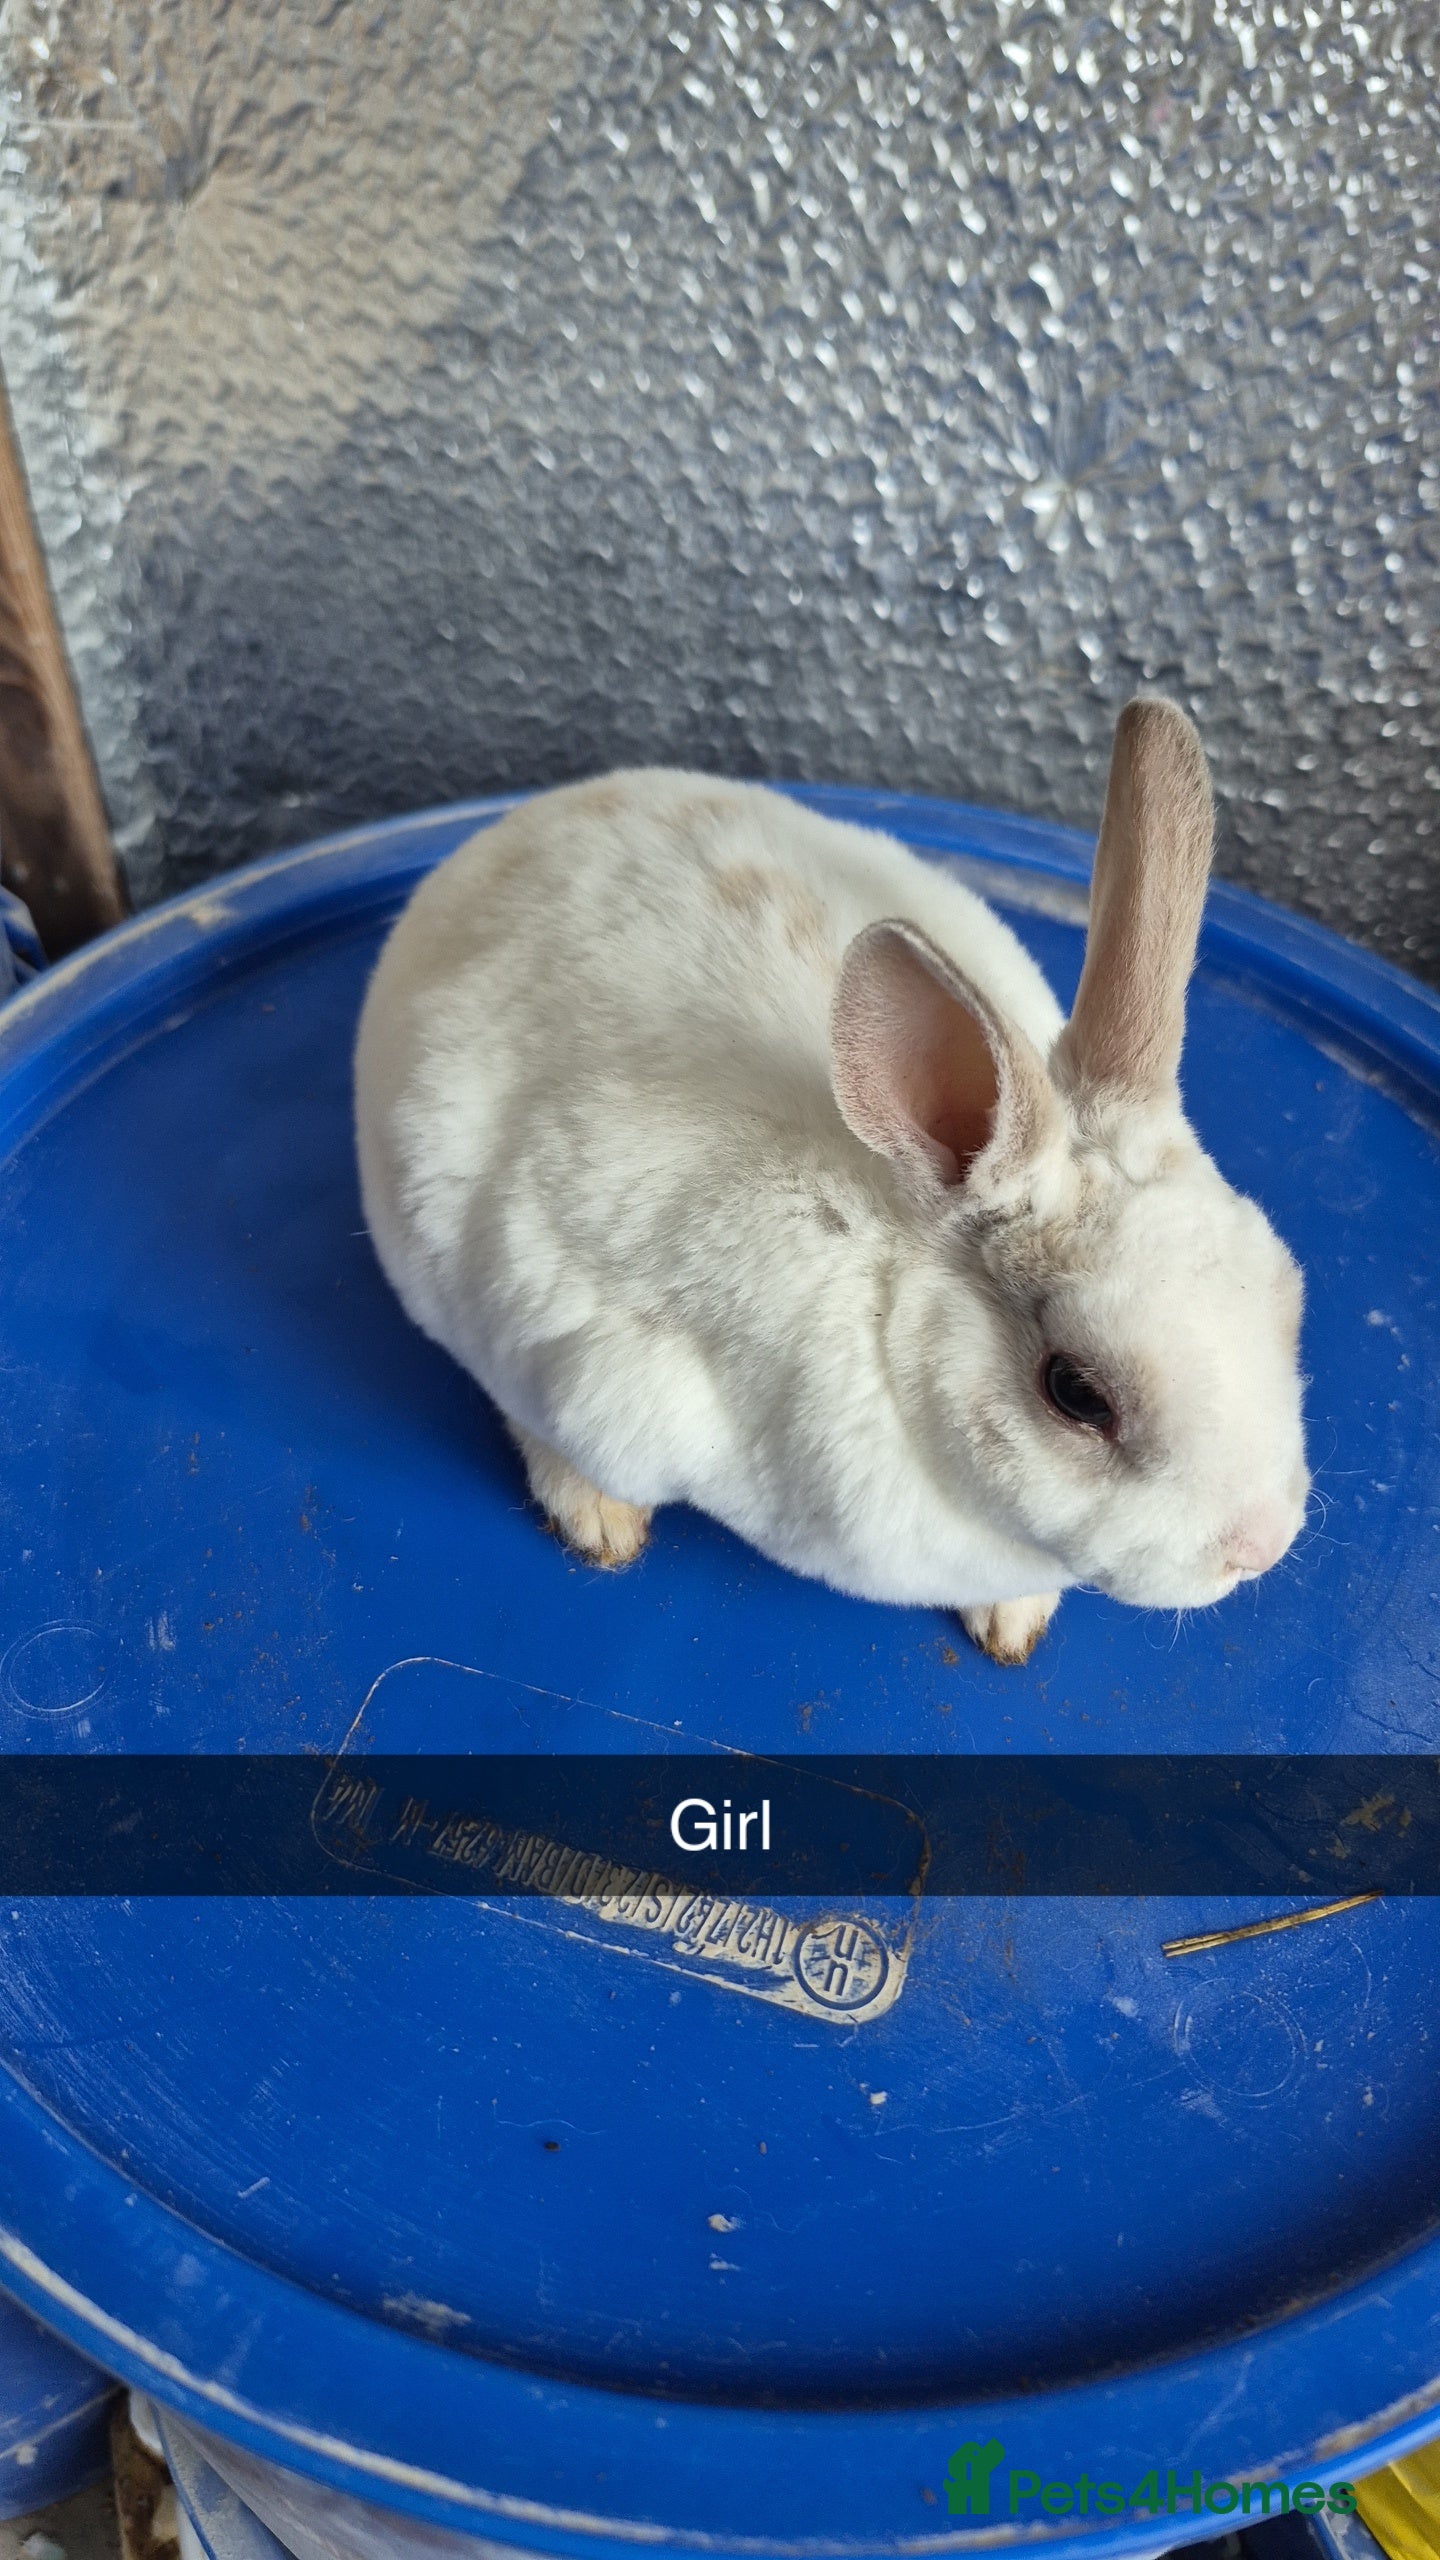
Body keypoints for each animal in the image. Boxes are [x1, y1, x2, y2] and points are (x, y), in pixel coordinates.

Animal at [354, 697, 1309, 1665]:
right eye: (1078, 1394)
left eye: (1289, 1291)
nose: (1261, 1548)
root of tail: (520, 822)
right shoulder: (571, 1360)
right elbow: (541, 1421)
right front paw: (597, 1518)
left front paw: (1015, 1618)